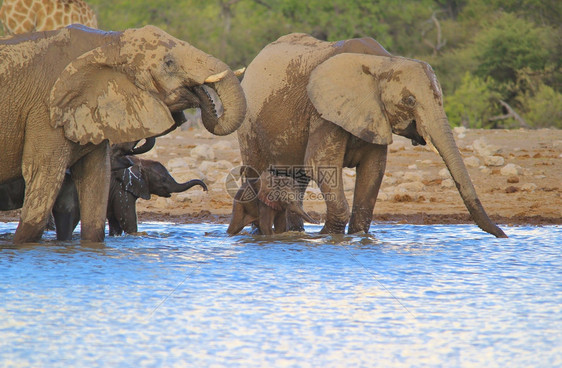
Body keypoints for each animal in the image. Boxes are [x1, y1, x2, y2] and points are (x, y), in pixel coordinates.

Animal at [0, 25, 245, 244]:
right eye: (169, 63)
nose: (205, 189)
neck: (109, 42)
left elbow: (96, 179)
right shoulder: (45, 113)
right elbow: (43, 176)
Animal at [234, 33, 506, 237]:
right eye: (409, 101)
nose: (503, 234)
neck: (384, 62)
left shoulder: (375, 114)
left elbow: (373, 169)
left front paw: (357, 237)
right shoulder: (323, 112)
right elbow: (321, 165)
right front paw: (328, 237)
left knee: (295, 179)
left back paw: (293, 235)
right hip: (249, 125)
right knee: (258, 173)